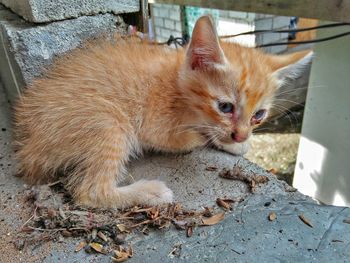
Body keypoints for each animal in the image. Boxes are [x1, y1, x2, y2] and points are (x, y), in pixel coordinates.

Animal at [13, 17, 312, 210]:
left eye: (258, 115)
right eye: (225, 107)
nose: (240, 136)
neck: (176, 83)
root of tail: (30, 146)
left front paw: (235, 143)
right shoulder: (153, 126)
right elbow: (190, 138)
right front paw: (211, 138)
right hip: (109, 122)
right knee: (90, 192)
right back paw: (149, 192)